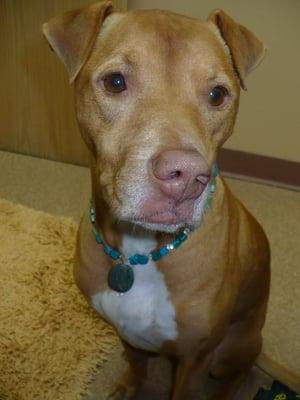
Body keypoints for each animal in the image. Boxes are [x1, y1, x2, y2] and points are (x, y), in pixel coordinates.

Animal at [43, 1, 270, 398]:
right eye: (115, 82)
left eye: (217, 95)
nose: (186, 178)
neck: (140, 251)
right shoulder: (125, 332)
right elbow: (137, 364)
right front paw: (128, 386)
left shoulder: (197, 358)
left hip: (234, 347)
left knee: (238, 373)